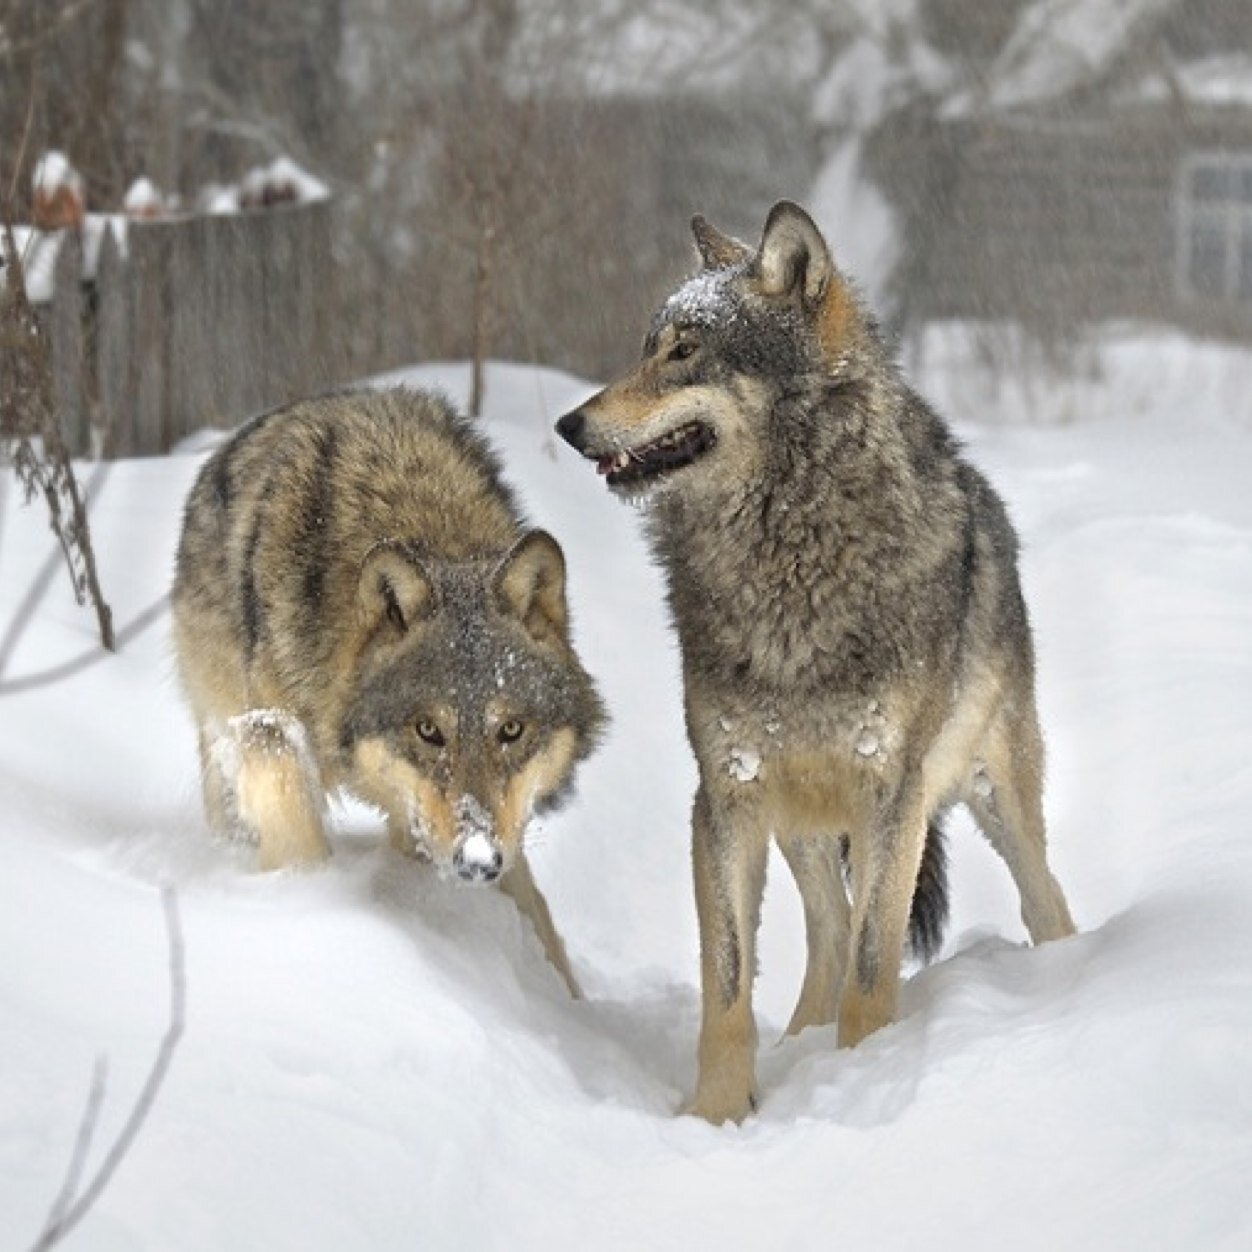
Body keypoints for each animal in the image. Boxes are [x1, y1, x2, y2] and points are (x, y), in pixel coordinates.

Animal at [172, 386, 606, 996]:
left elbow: (534, 908)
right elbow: (298, 842)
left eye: (511, 729)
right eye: (428, 730)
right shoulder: (270, 736)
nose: (477, 863)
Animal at [556, 201, 1075, 1120]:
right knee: (828, 934)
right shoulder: (726, 795)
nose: (569, 425)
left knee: (1041, 898)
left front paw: (865, 1083)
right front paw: (718, 1114)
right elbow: (727, 985)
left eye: (685, 351)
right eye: (648, 346)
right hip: (800, 821)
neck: (786, 560)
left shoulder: (892, 795)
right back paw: (801, 1045)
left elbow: (873, 970)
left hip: (991, 797)